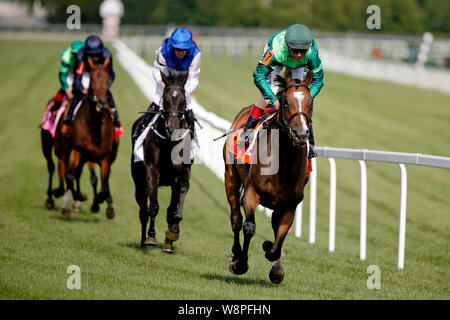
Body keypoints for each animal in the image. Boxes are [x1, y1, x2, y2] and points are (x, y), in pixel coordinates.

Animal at [52, 56, 118, 219]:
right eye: (92, 79)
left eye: (107, 78)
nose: (102, 102)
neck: (93, 125)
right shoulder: (78, 150)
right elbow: (70, 176)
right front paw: (80, 196)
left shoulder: (105, 157)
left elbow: (104, 184)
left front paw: (102, 202)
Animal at [223, 68, 314, 284]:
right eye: (286, 102)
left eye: (310, 102)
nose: (300, 134)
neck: (283, 163)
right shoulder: (251, 192)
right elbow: (249, 227)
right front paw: (240, 264)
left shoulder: (289, 205)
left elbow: (277, 242)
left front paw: (275, 264)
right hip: (230, 177)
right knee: (236, 219)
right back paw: (236, 253)